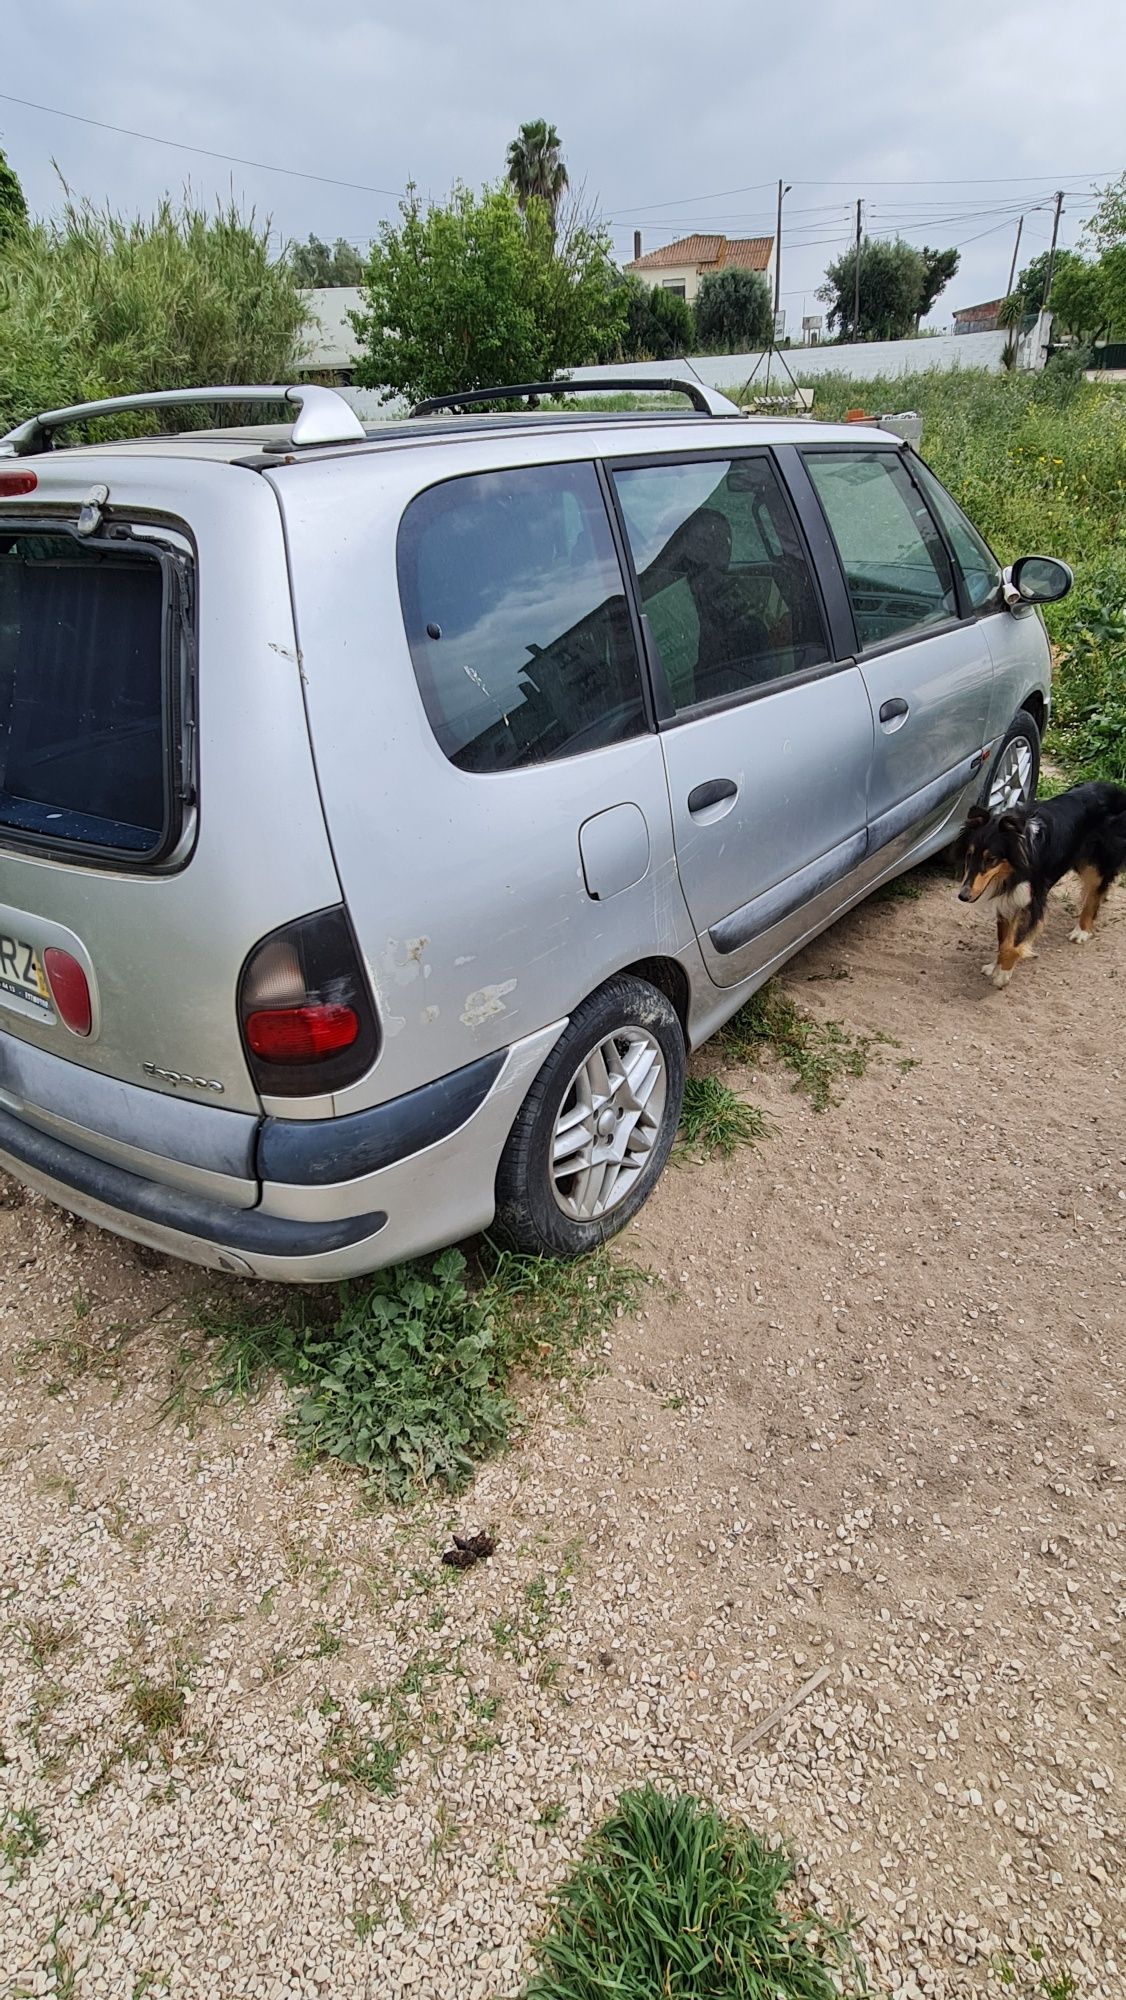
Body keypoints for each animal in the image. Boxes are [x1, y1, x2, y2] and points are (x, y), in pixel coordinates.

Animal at [960, 788, 1126, 992]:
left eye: (991, 859)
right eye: (969, 855)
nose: (963, 896)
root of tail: (1114, 788)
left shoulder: (1031, 901)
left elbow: (1012, 943)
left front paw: (1003, 973)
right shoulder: (1008, 901)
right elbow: (1003, 939)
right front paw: (995, 966)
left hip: (1096, 862)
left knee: (1096, 891)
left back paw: (1081, 931)